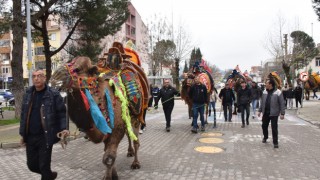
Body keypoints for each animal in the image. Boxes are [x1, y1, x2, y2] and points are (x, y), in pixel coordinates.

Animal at [50, 41, 150, 179]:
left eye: (78, 69)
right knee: (129, 135)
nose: (55, 78)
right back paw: (129, 152)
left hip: (136, 117)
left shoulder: (116, 130)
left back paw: (135, 163)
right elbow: (107, 154)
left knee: (135, 139)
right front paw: (114, 175)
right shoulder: (106, 130)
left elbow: (108, 158)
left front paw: (110, 176)